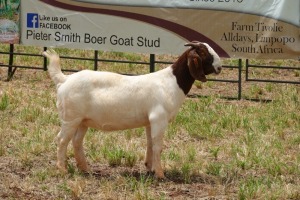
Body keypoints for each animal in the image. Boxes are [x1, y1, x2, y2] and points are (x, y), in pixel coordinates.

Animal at [43, 41, 223, 179]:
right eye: (203, 52)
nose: (220, 67)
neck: (171, 82)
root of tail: (64, 79)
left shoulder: (150, 121)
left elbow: (150, 143)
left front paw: (149, 167)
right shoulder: (159, 118)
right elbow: (158, 146)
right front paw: (160, 174)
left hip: (82, 121)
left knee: (77, 141)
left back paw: (85, 168)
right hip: (70, 118)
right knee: (62, 140)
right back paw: (62, 169)